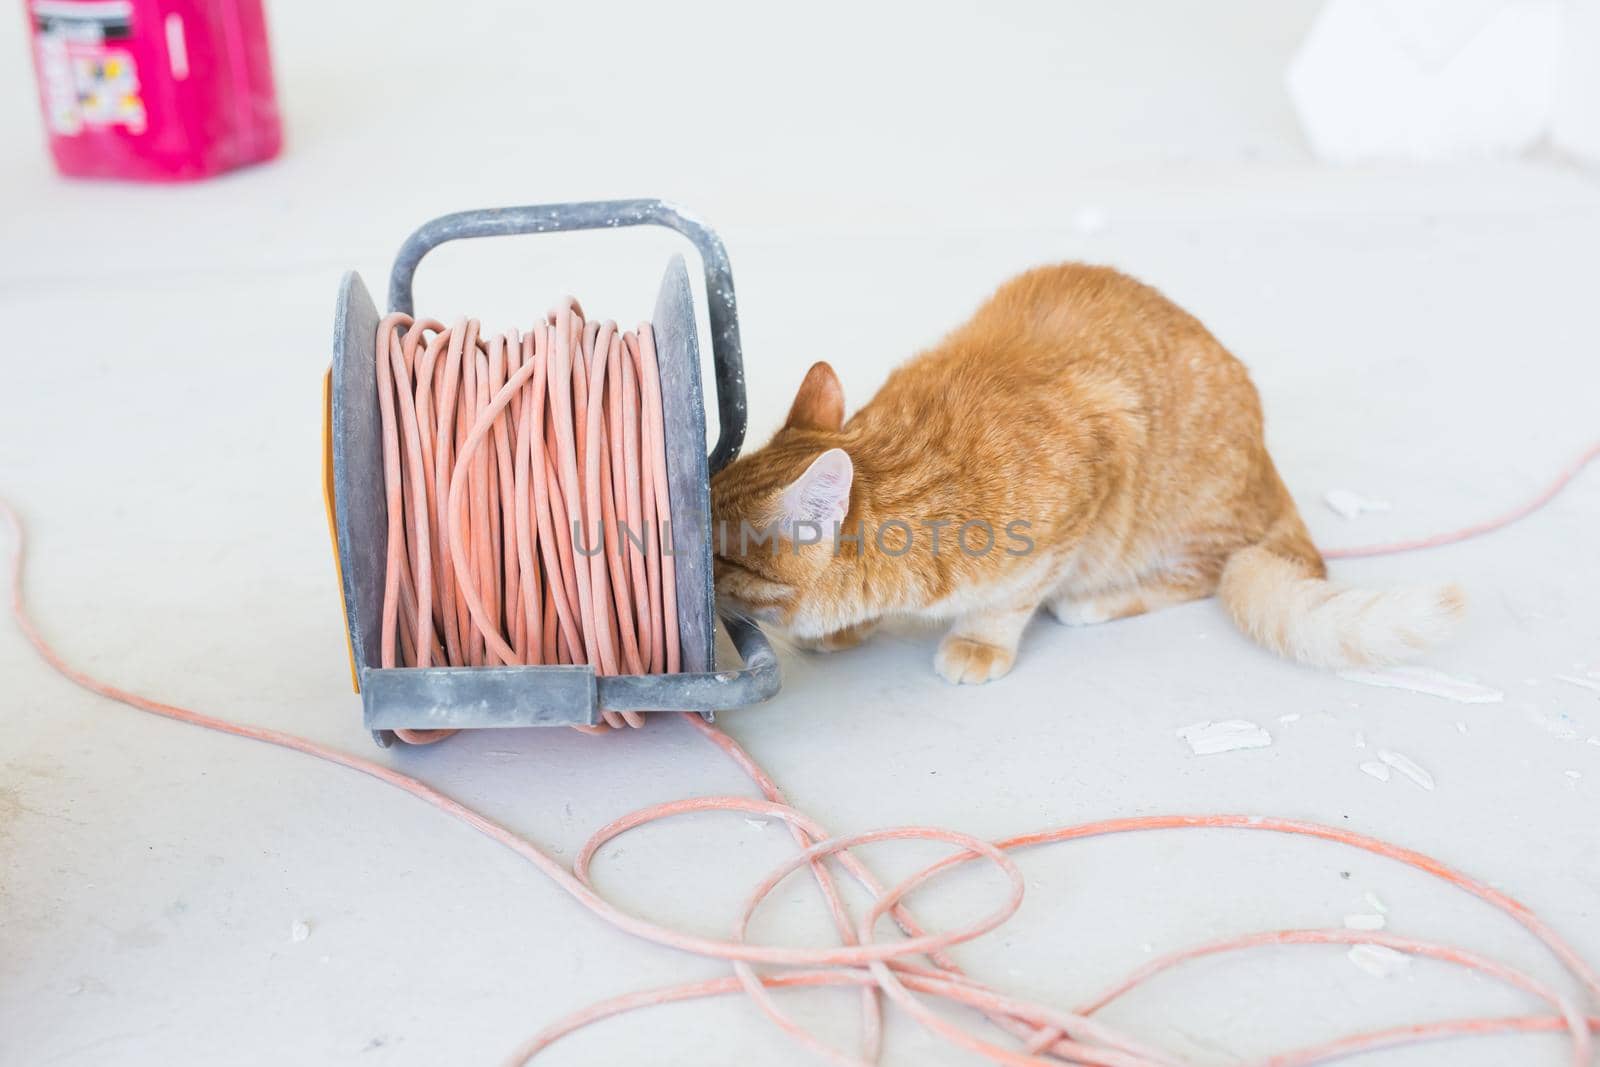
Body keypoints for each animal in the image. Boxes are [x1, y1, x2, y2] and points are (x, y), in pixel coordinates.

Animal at [713, 265, 1465, 684]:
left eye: (715, 555)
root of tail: (1267, 464)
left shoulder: (1080, 498)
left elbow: (1008, 602)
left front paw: (978, 642)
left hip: (1167, 524)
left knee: (1207, 572)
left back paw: (1093, 602)